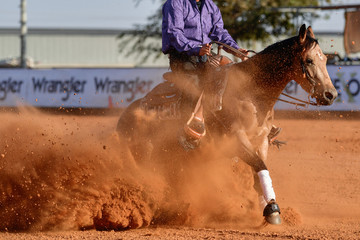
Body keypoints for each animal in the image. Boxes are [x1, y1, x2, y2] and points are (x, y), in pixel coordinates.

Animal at [117, 24, 338, 225]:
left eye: (325, 59)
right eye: (309, 60)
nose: (331, 94)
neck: (250, 91)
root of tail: (124, 118)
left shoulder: (260, 141)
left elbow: (258, 173)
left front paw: (264, 207)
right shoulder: (235, 140)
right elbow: (259, 165)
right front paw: (272, 209)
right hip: (147, 158)